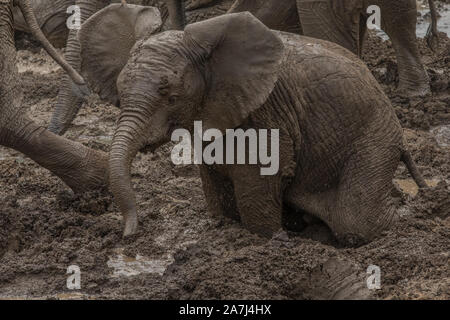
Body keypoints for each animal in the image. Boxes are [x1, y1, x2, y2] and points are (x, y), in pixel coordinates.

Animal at [79, 5, 428, 244]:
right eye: (120, 92)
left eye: (171, 96)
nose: (127, 235)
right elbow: (215, 185)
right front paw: (224, 226)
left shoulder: (265, 112)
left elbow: (257, 185)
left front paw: (272, 240)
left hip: (374, 137)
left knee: (356, 221)